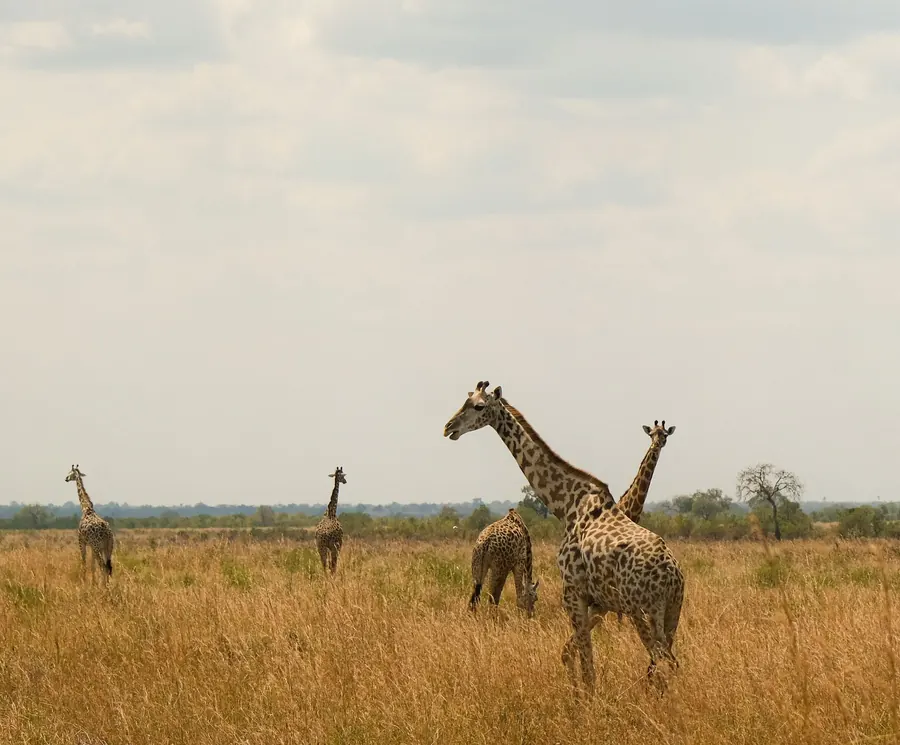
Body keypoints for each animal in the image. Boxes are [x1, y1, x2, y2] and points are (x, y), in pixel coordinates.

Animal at [443, 381, 684, 692]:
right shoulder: (596, 602)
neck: (566, 505)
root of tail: (673, 575)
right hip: (671, 612)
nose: (449, 427)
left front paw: (586, 698)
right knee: (669, 663)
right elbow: (570, 653)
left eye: (479, 406)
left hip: (641, 610)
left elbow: (587, 664)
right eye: (466, 399)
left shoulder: (573, 593)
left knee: (662, 662)